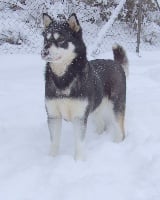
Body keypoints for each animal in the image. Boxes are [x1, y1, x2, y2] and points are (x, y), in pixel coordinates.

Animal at [41, 12, 129, 160]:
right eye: (45, 39)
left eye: (61, 39)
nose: (44, 52)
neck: (64, 79)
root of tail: (116, 63)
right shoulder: (53, 116)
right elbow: (54, 143)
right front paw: (51, 160)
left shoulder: (79, 117)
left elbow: (79, 144)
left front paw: (78, 162)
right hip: (96, 106)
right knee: (101, 124)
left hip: (116, 106)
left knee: (120, 131)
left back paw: (117, 144)